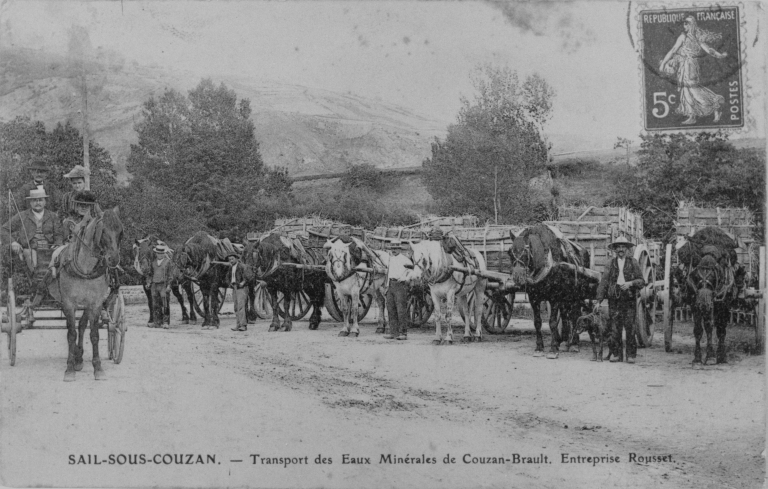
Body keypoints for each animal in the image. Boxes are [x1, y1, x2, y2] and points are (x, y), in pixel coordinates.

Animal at [47, 206, 124, 382]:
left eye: (121, 232)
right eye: (103, 231)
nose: (113, 259)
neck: (86, 269)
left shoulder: (95, 304)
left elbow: (93, 334)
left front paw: (98, 368)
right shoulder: (69, 303)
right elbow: (71, 334)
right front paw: (69, 369)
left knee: (82, 325)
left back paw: (79, 357)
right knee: (75, 328)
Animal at [508, 225, 596, 358]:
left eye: (526, 252)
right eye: (509, 252)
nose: (518, 277)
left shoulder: (554, 298)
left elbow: (553, 322)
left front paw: (553, 349)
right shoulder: (533, 298)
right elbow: (537, 322)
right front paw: (539, 347)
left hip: (576, 294)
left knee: (575, 314)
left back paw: (574, 344)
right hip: (566, 296)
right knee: (565, 314)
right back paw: (564, 338)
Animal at [676, 227, 740, 364]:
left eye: (721, 257)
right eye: (699, 255)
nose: (706, 268)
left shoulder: (722, 305)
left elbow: (720, 329)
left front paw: (716, 355)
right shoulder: (696, 303)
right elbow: (700, 329)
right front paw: (698, 357)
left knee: (721, 328)